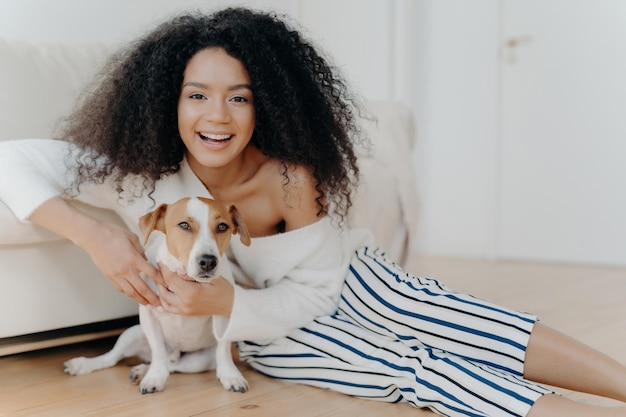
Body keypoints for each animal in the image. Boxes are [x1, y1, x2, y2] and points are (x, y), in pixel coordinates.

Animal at [62, 197, 249, 394]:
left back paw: (141, 371)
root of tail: (175, 352)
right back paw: (83, 365)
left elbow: (224, 349)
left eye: (222, 226)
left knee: (174, 366)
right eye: (184, 225)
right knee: (112, 357)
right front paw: (154, 377)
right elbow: (158, 351)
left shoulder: (224, 315)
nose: (208, 262)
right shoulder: (148, 314)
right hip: (131, 334)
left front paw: (230, 375)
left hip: (200, 359)